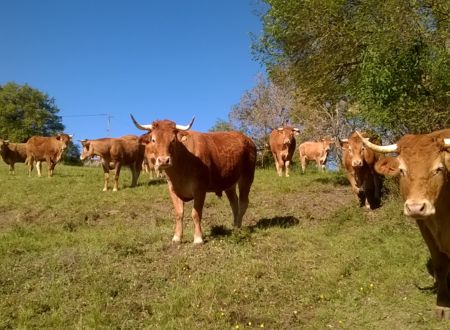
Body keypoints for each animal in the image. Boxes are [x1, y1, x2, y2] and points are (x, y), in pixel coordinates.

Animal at [131, 114, 256, 244]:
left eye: (173, 140)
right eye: (153, 140)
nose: (164, 160)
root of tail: (246, 139)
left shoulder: (200, 189)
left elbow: (196, 214)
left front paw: (198, 238)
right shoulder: (173, 189)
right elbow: (179, 213)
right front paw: (177, 237)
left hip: (247, 177)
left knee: (243, 202)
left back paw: (239, 227)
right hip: (229, 183)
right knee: (234, 203)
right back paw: (235, 226)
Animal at [358, 130, 450, 320]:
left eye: (439, 169)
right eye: (402, 170)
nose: (415, 207)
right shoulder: (425, 228)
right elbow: (440, 265)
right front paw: (443, 304)